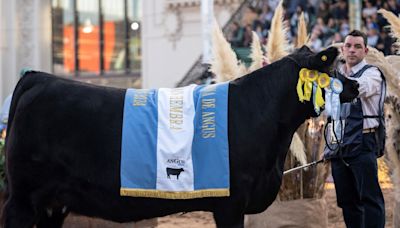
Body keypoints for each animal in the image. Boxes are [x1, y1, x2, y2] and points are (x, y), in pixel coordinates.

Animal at [0, 45, 360, 227]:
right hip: (22, 198)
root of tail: (38, 78)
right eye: (332, 69)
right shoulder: (230, 202)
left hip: (53, 203)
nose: (356, 85)